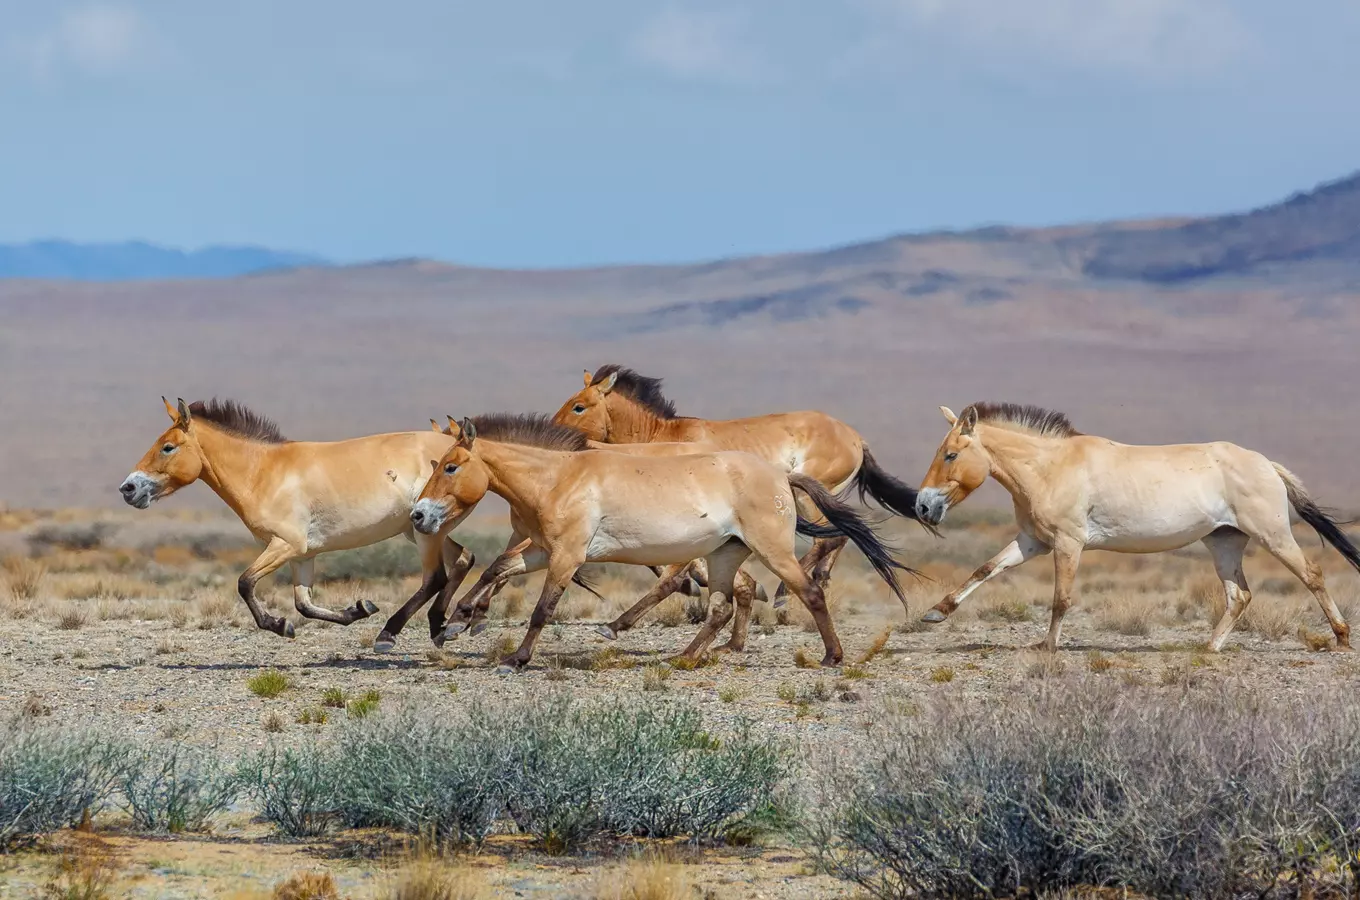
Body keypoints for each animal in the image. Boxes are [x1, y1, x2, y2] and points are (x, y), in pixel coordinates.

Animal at [118, 399, 478, 644]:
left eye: (167, 447)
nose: (128, 488)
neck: (264, 472)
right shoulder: (302, 554)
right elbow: (303, 604)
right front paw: (358, 609)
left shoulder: (284, 545)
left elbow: (245, 583)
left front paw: (280, 625)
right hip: (421, 529)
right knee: (463, 558)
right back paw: (443, 626)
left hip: (424, 533)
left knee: (435, 576)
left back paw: (391, 633)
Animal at [405, 413, 913, 668]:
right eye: (436, 464)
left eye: (450, 466)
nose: (418, 514)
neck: (558, 477)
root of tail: (781, 475)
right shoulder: (543, 551)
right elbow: (498, 569)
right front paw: (455, 623)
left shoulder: (567, 557)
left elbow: (542, 609)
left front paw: (516, 658)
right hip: (724, 555)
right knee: (723, 606)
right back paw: (683, 658)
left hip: (772, 552)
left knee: (808, 591)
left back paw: (832, 657)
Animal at [552, 364, 924, 638]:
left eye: (578, 405)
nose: (554, 434)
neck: (663, 438)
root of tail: (856, 438)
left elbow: (669, 572)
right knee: (840, 535)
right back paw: (812, 582)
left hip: (806, 495)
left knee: (830, 538)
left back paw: (783, 595)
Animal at [913, 405, 1360, 652]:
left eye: (950, 454)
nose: (922, 506)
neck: (1051, 467)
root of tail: (1266, 464)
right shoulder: (1033, 542)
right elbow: (985, 569)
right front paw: (935, 613)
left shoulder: (1068, 543)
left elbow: (1061, 599)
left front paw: (1048, 646)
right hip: (1224, 543)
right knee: (1240, 595)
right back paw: (1209, 647)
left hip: (1273, 536)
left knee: (1311, 574)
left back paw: (1341, 638)